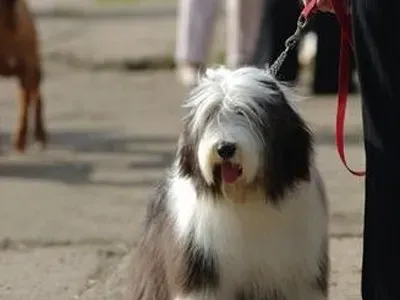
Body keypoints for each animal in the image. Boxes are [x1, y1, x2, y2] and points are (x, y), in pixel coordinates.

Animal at [128, 66, 328, 300]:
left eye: (246, 113)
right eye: (211, 115)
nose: (225, 148)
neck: (247, 198)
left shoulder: (301, 272)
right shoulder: (201, 265)